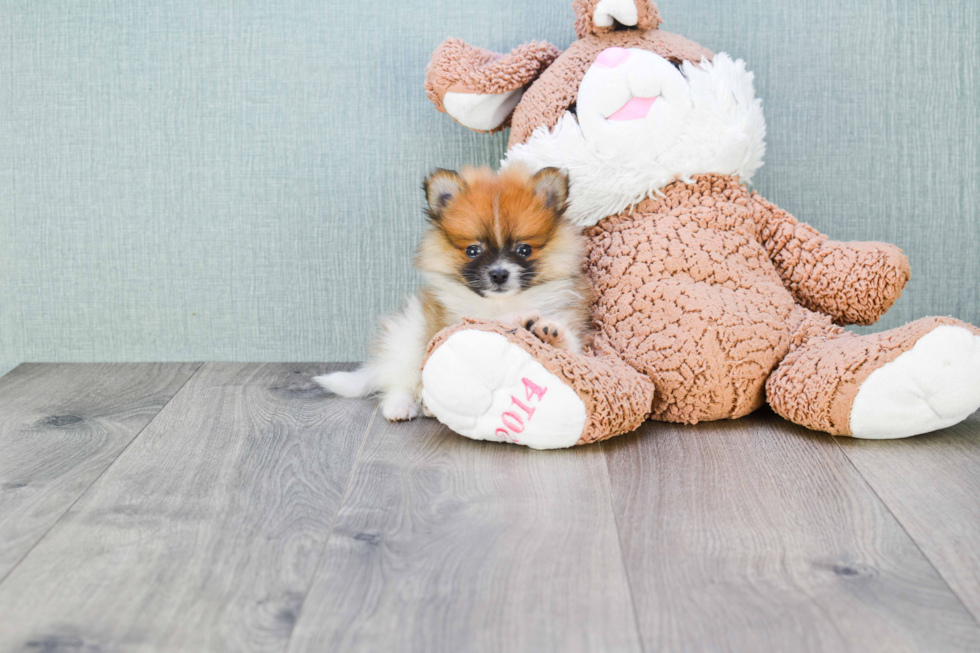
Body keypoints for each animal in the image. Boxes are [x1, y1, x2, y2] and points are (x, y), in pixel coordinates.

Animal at [314, 162, 588, 418]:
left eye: (524, 249)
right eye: (472, 250)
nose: (499, 274)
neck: (498, 303)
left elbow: (569, 350)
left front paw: (548, 332)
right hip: (406, 336)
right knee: (399, 381)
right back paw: (401, 407)